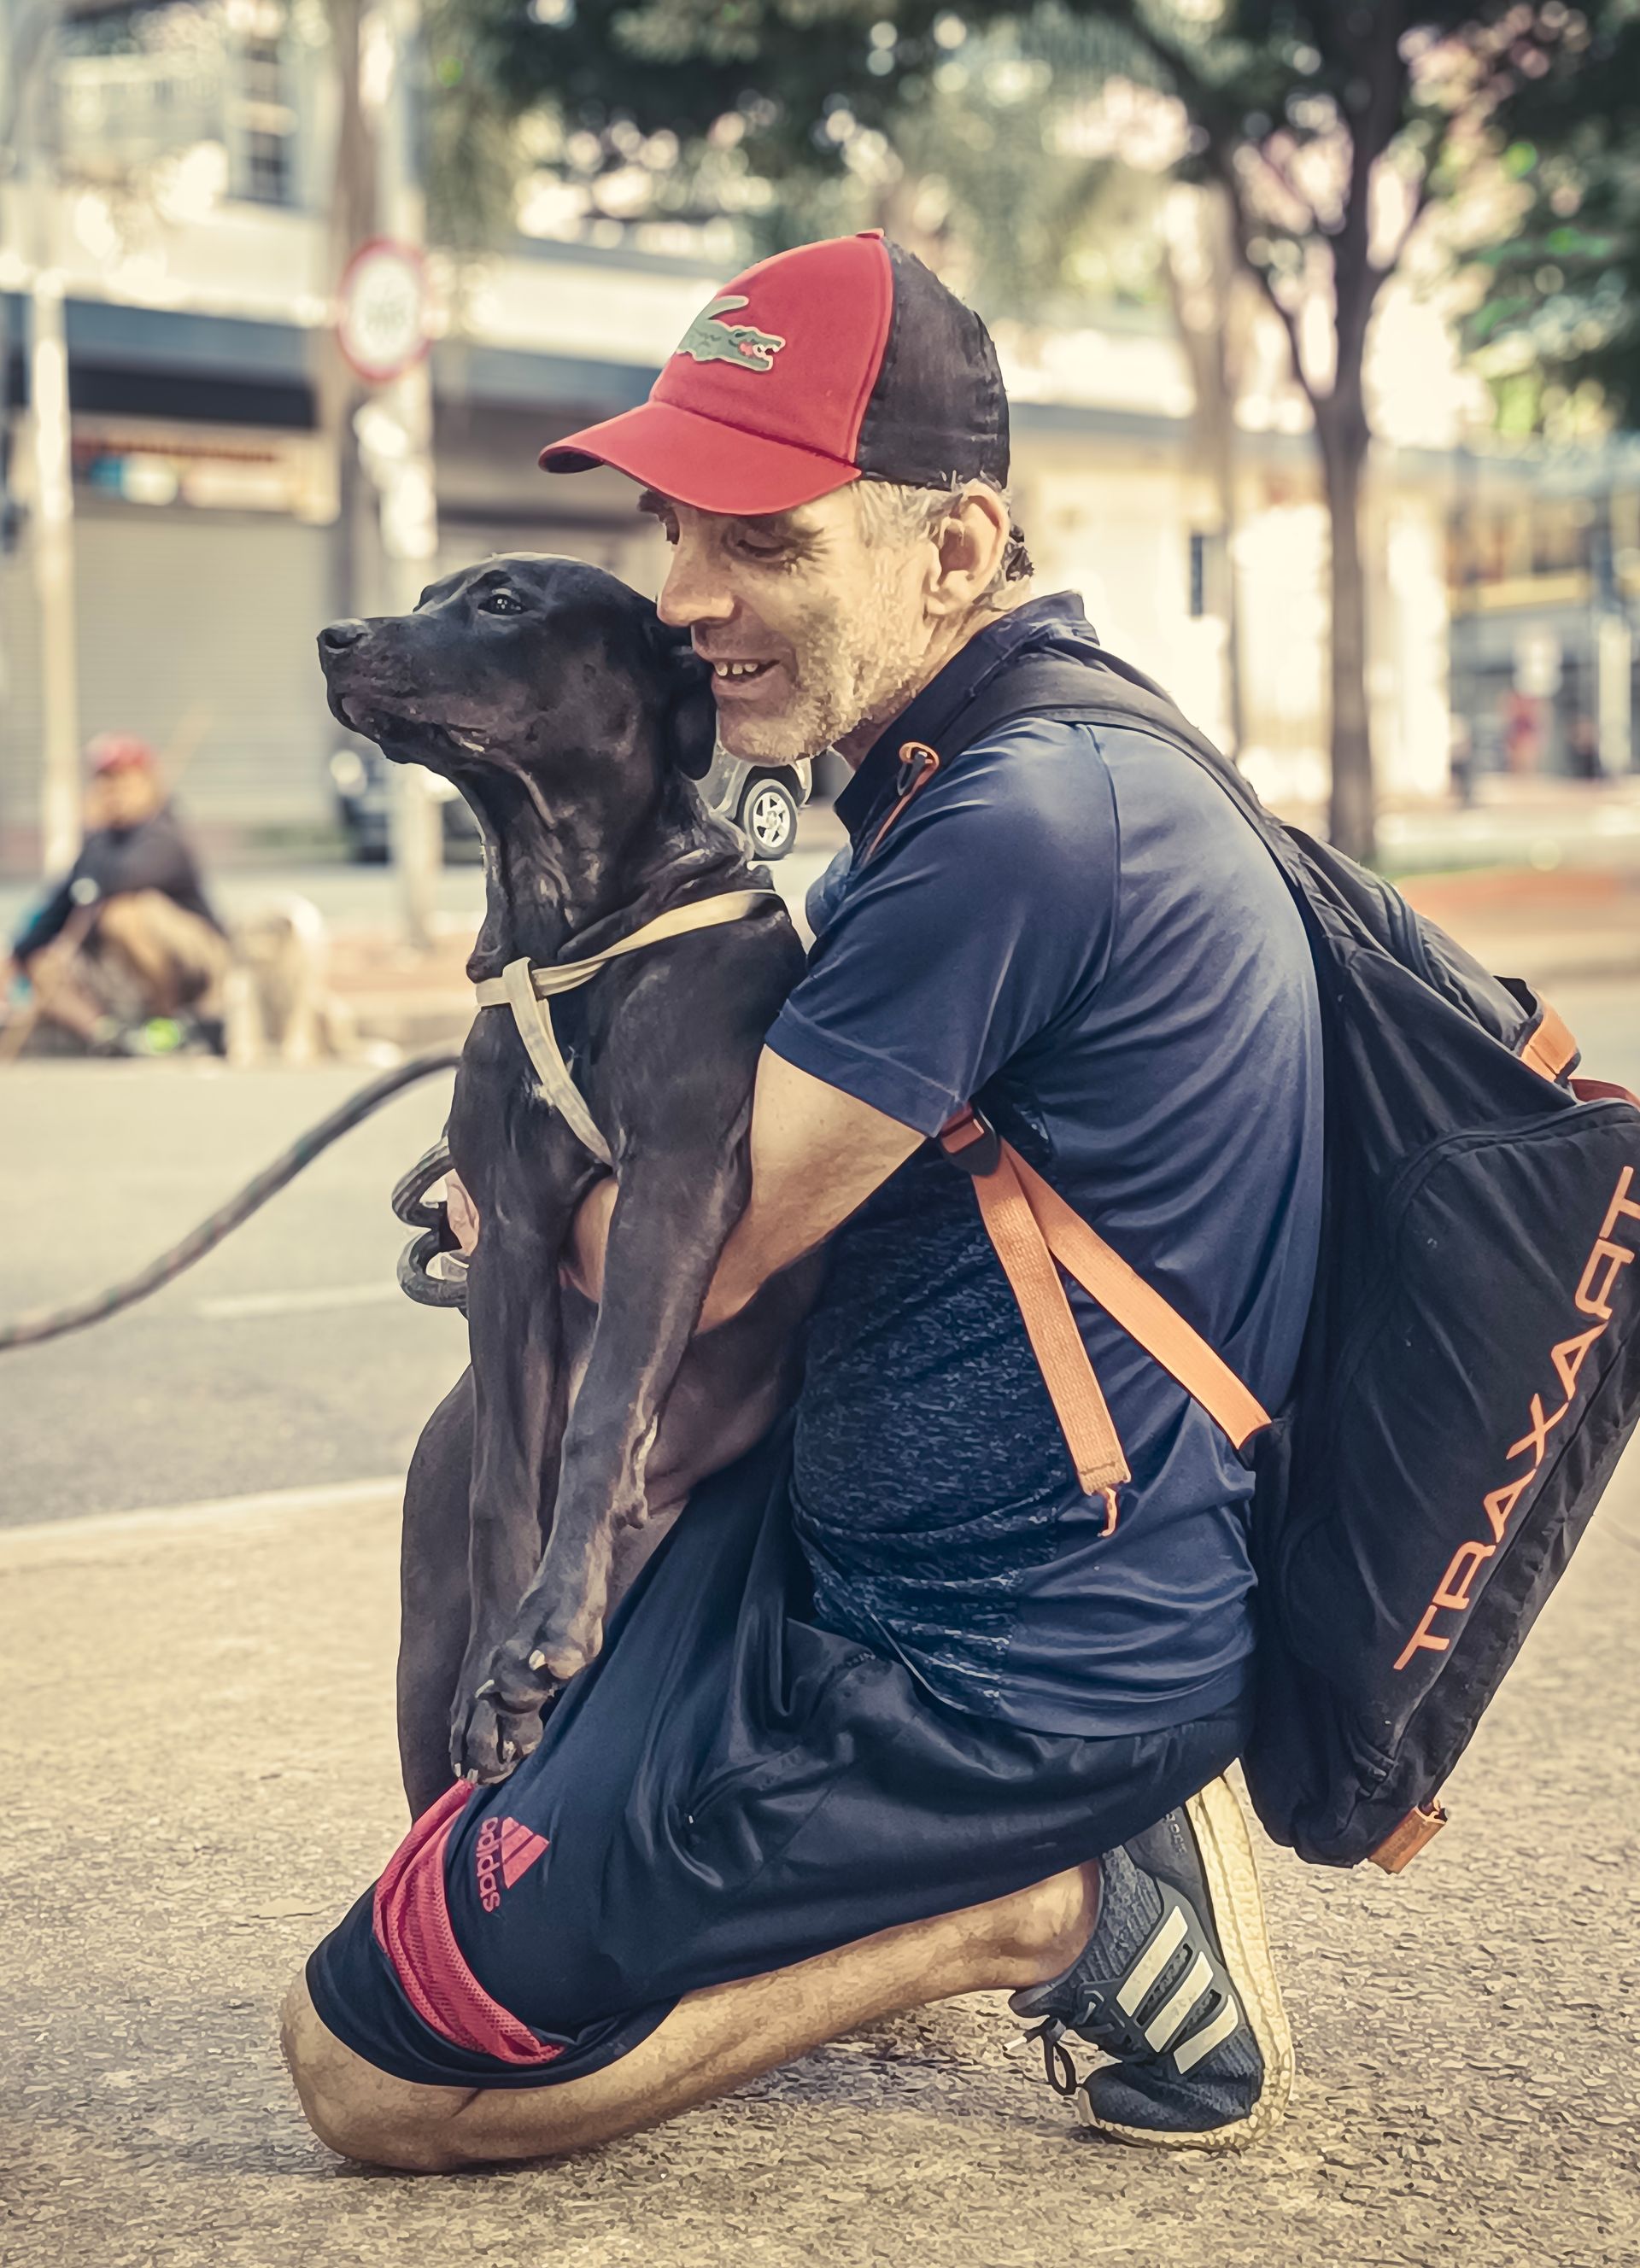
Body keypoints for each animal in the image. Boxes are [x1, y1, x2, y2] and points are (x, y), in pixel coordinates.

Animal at [319, 555, 814, 1802]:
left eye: (501, 603)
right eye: (423, 597)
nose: (334, 637)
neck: (567, 918)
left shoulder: (675, 1176)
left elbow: (601, 1409)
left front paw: (545, 1627)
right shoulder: (509, 1225)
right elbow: (509, 1472)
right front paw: (503, 1664)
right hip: (413, 1663)